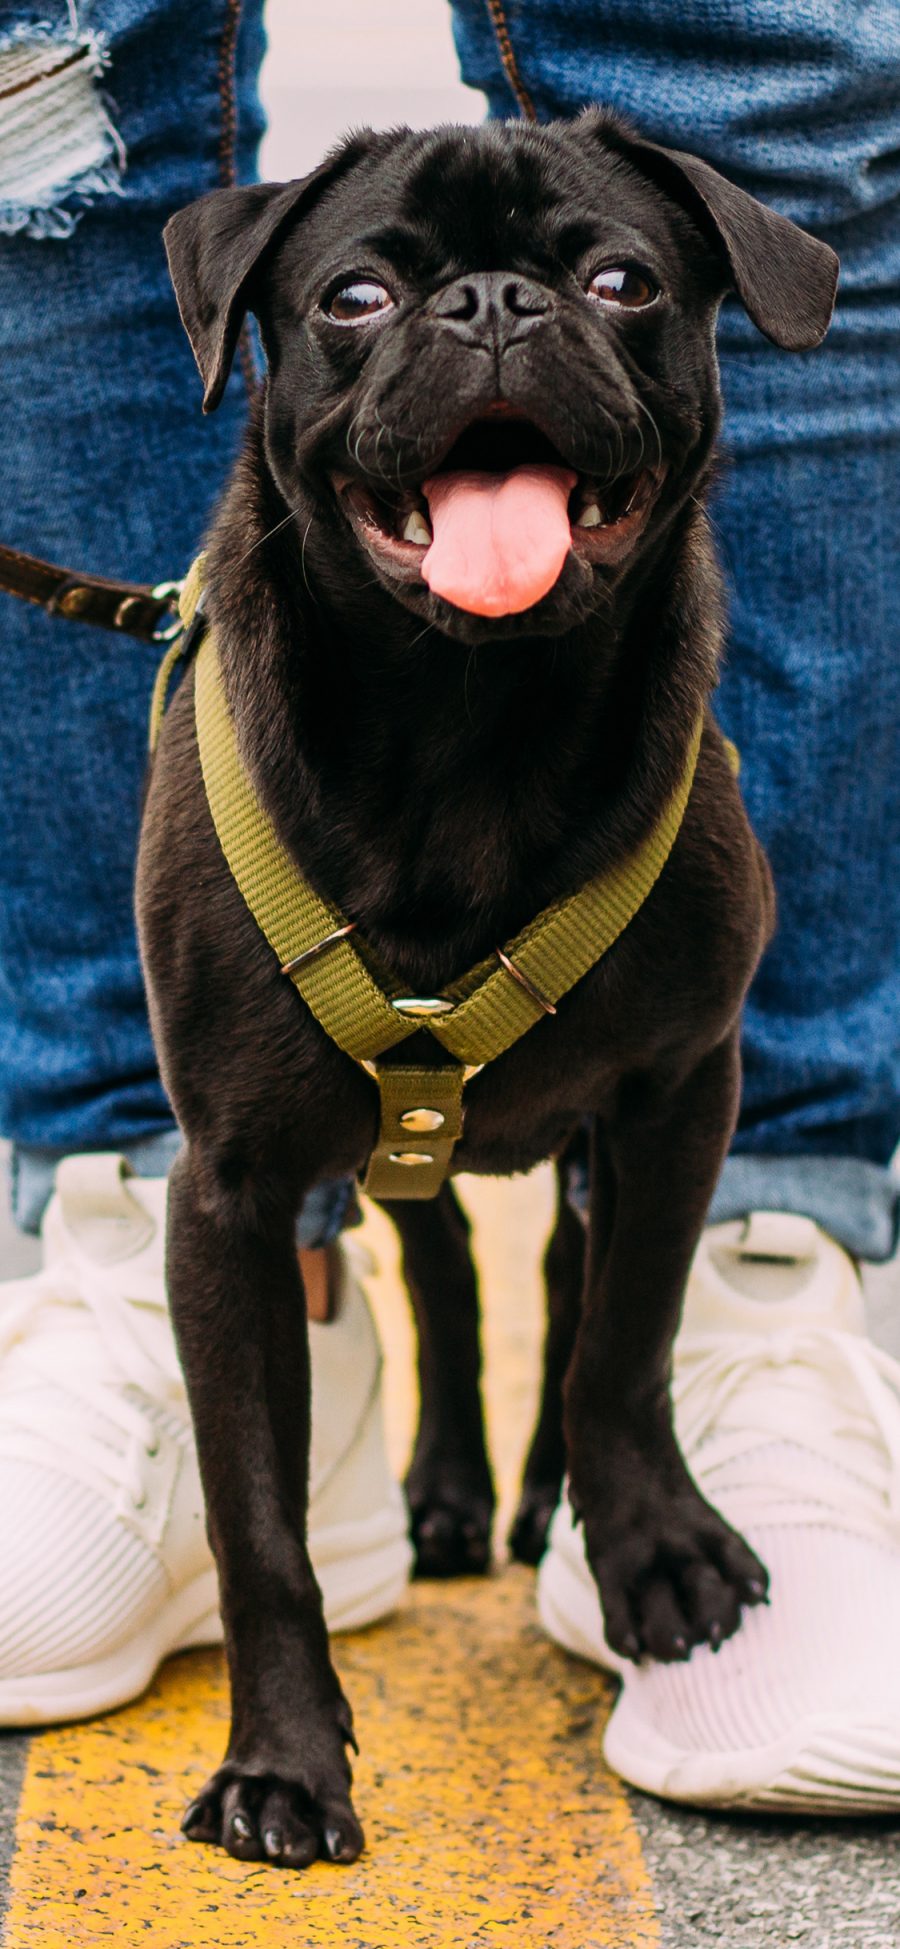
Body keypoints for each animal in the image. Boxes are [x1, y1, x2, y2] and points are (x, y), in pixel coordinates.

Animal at [139, 110, 837, 1871]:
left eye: (624, 282)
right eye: (359, 296)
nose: (497, 306)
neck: (470, 722)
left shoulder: (682, 1090)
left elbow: (625, 1338)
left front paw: (650, 1548)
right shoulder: (227, 1193)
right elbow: (257, 1516)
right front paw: (282, 1764)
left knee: (563, 1275)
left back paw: (537, 1500)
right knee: (449, 1268)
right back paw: (451, 1489)